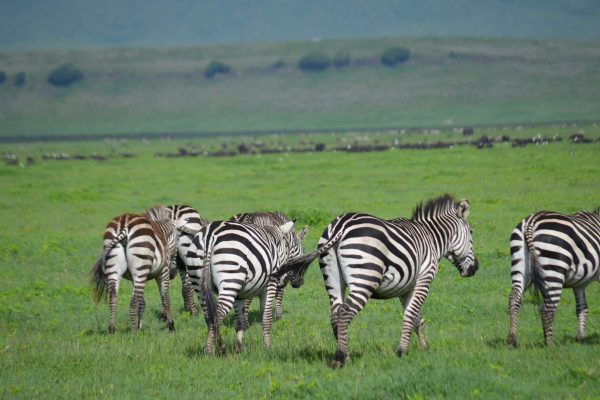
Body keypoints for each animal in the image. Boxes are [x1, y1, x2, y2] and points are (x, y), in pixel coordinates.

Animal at [185, 220, 302, 354]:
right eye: (297, 252)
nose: (298, 282)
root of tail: (210, 234)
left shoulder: (239, 295)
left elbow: (241, 322)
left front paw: (238, 349)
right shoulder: (269, 285)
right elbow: (266, 319)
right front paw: (268, 347)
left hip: (198, 281)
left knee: (209, 317)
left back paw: (221, 348)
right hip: (230, 279)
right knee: (217, 316)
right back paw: (210, 351)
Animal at [278, 195, 480, 368]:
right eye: (471, 232)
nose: (475, 269)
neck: (431, 239)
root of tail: (339, 226)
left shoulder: (406, 288)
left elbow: (417, 318)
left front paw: (423, 348)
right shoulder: (424, 279)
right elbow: (410, 316)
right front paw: (402, 352)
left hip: (332, 278)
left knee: (335, 314)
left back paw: (346, 354)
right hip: (365, 278)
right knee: (344, 313)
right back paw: (340, 359)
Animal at [506, 209, 600, 346]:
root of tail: (531, 222)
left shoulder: (579, 283)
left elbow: (582, 308)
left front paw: (580, 337)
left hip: (520, 264)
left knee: (514, 299)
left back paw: (512, 339)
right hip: (555, 268)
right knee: (547, 309)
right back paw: (550, 344)